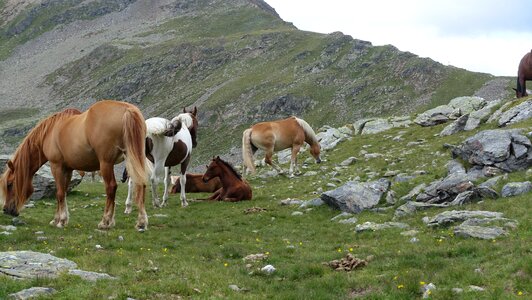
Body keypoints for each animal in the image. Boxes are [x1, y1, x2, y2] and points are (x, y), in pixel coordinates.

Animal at [0, 100, 148, 230]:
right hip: (134, 158)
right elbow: (63, 192)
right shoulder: (68, 169)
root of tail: (127, 109)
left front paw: (60, 221)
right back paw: (141, 222)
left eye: (10, 184)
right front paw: (58, 219)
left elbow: (59, 193)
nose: (6, 210)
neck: (50, 131)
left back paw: (105, 222)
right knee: (140, 183)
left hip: (106, 164)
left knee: (111, 187)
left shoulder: (56, 166)